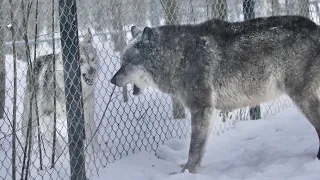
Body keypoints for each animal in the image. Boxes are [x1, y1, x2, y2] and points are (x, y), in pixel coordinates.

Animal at [21, 29, 100, 159]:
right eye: (81, 60)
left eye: (92, 59)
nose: (92, 71)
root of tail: (37, 59)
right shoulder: (47, 114)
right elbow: (53, 142)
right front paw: (58, 159)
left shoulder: (87, 116)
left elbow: (92, 140)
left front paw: (95, 157)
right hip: (35, 116)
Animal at [110, 15, 320, 173]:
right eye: (122, 61)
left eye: (127, 62)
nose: (112, 80)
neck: (178, 57)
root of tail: (316, 28)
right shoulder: (210, 111)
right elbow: (200, 149)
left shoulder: (201, 108)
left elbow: (194, 148)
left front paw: (186, 172)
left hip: (302, 99)